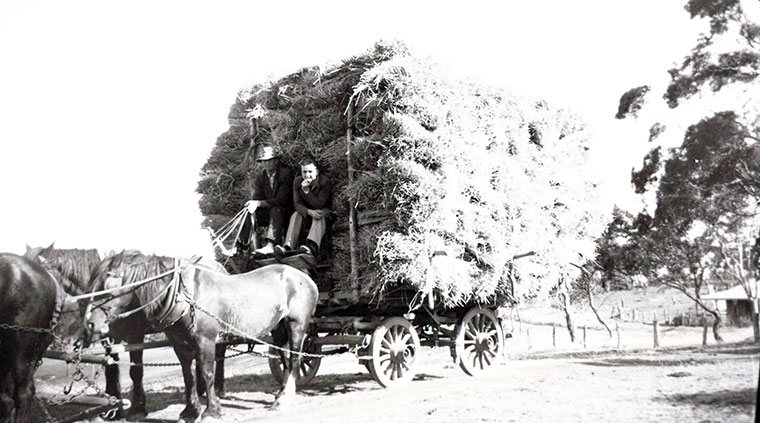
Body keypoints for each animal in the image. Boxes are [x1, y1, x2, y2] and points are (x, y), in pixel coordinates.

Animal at [83, 253, 318, 422]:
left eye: (108, 291)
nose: (90, 324)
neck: (185, 295)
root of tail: (304, 277)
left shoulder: (205, 339)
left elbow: (206, 373)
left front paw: (211, 411)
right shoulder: (179, 343)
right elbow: (189, 376)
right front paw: (190, 410)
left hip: (297, 325)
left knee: (295, 358)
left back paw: (284, 398)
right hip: (278, 328)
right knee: (285, 357)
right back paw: (281, 393)